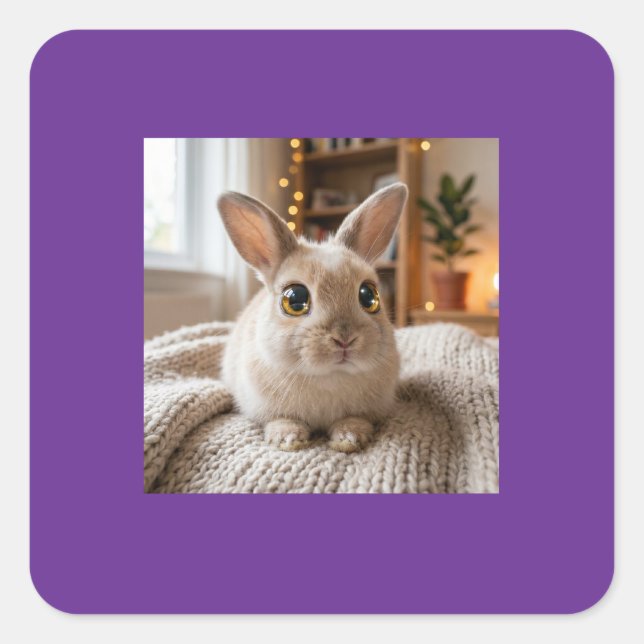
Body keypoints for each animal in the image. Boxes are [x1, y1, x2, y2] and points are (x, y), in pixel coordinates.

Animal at [217, 182, 408, 452]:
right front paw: (289, 439)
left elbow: (354, 420)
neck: (329, 377)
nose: (344, 339)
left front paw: (349, 438)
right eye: (295, 298)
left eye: (369, 296)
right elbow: (282, 420)